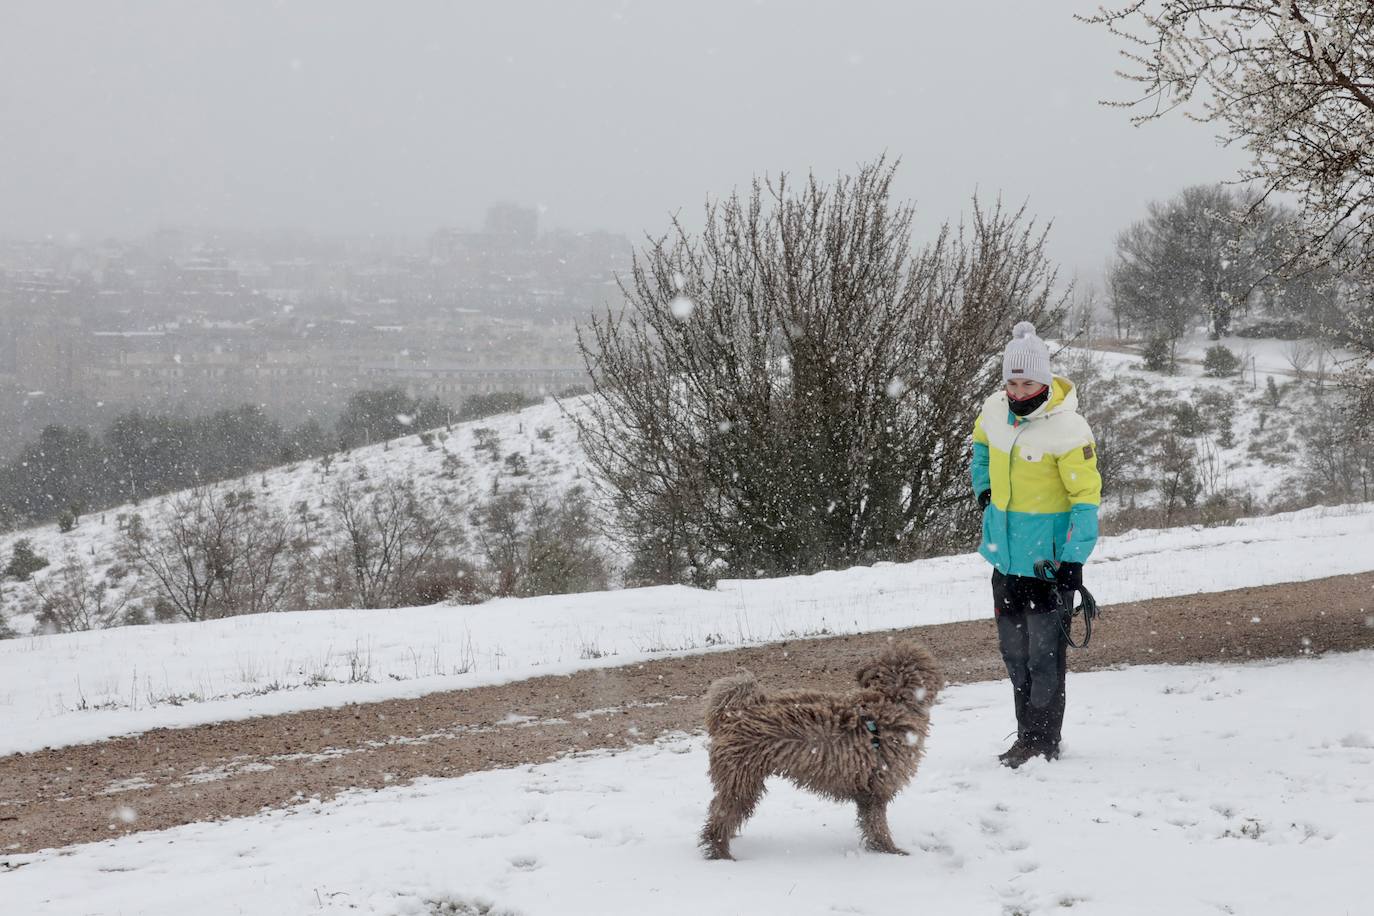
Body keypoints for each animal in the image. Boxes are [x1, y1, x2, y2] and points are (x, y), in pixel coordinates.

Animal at [703, 645, 939, 862]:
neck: (890, 700)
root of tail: (732, 713)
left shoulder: (868, 792)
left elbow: (871, 824)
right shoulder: (877, 789)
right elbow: (877, 825)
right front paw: (891, 852)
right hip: (740, 779)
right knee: (720, 818)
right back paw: (721, 854)